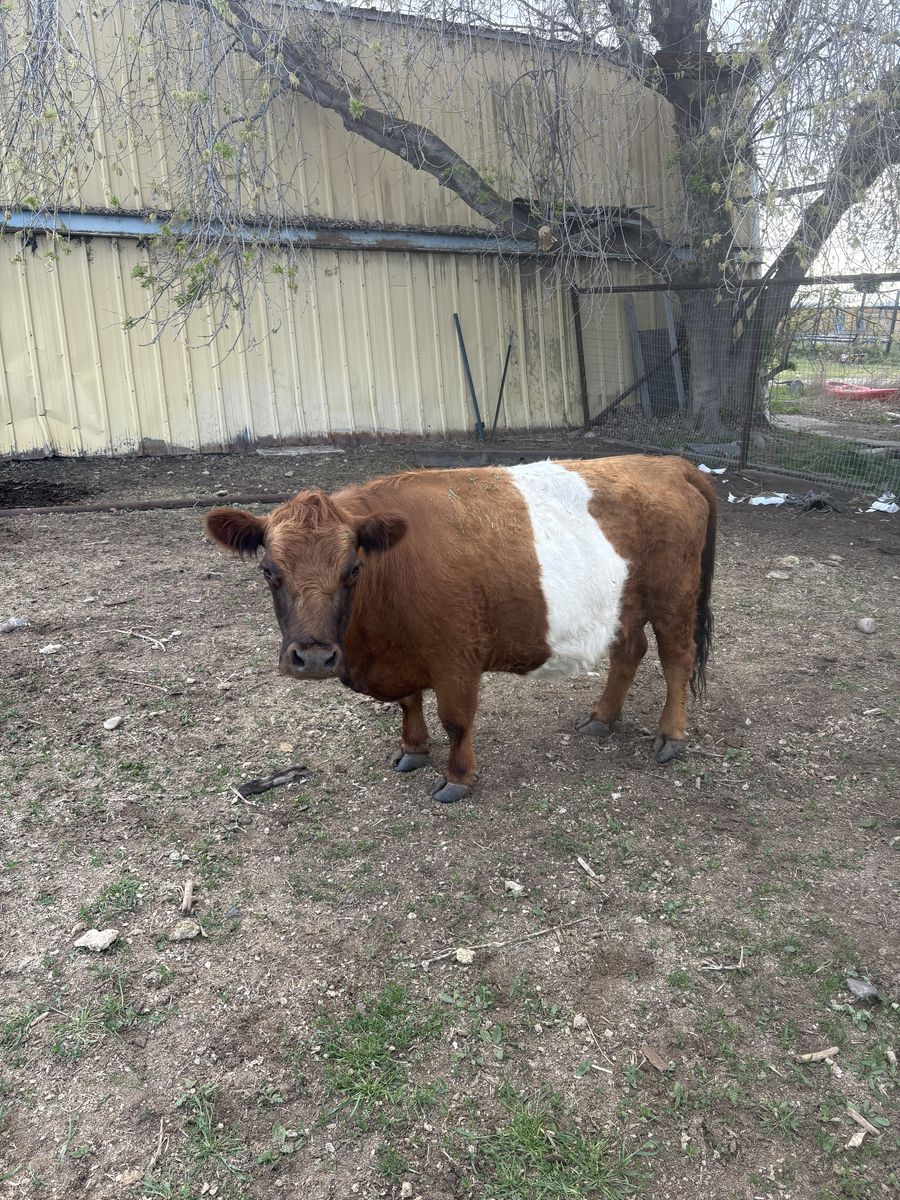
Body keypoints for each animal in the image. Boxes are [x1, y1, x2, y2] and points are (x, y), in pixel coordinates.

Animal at [205, 455, 715, 803]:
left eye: (352, 569)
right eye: (269, 572)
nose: (312, 657)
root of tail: (666, 463)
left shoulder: (455, 656)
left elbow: (455, 719)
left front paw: (457, 778)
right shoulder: (402, 651)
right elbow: (410, 704)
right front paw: (412, 750)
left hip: (673, 598)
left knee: (676, 658)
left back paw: (671, 737)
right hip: (622, 606)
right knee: (629, 650)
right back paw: (601, 719)